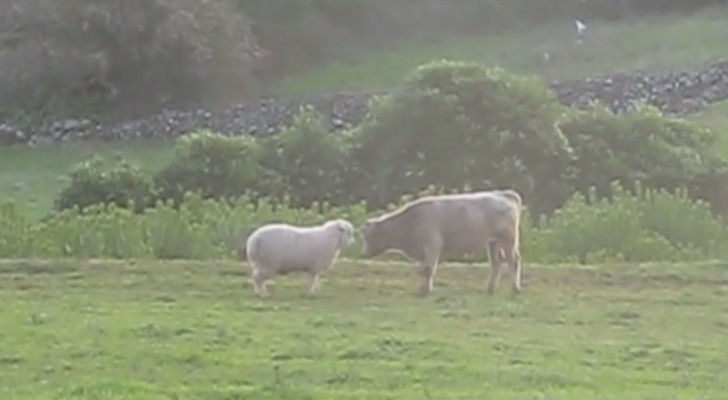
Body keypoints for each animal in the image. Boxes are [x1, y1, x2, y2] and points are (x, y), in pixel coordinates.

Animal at [360, 189, 520, 296]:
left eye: (368, 236)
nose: (364, 253)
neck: (409, 222)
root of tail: (503, 194)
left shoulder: (432, 246)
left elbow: (428, 269)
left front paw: (426, 291)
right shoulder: (423, 252)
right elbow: (422, 270)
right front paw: (423, 289)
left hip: (508, 240)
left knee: (513, 261)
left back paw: (515, 289)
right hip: (493, 242)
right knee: (496, 262)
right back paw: (490, 289)